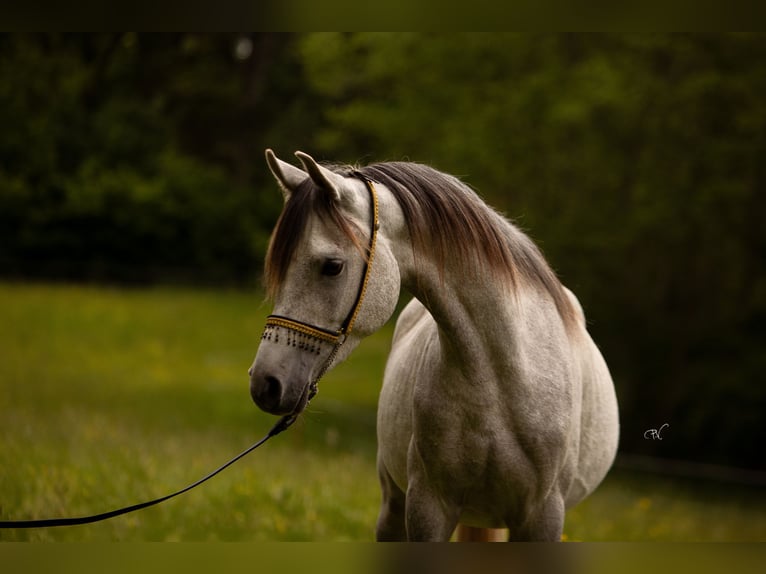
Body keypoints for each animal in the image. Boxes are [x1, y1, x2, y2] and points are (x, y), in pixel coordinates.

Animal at [248, 149, 619, 541]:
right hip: (396, 502)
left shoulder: (542, 517)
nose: (265, 383)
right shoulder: (429, 508)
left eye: (332, 266)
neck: (505, 378)